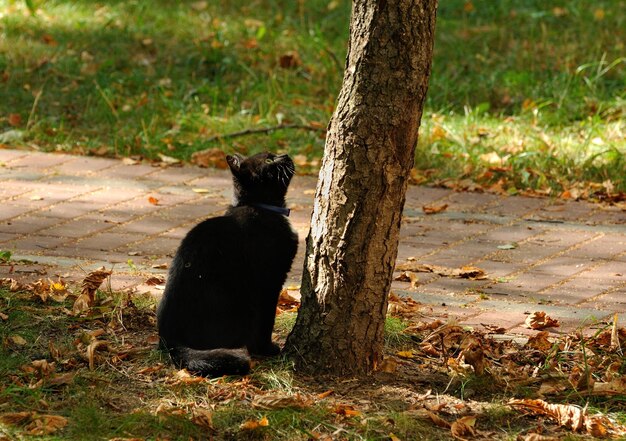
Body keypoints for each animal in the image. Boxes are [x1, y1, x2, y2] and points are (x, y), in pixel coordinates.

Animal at [156, 151, 298, 374]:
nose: (285, 154)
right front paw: (268, 349)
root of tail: (171, 342)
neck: (261, 208)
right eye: (269, 159)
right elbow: (267, 320)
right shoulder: (269, 283)